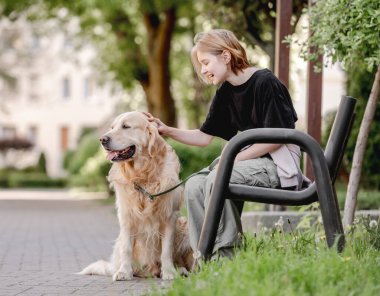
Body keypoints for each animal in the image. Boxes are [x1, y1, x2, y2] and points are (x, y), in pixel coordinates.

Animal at [79, 110, 194, 280]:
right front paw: (124, 272)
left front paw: (169, 272)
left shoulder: (169, 215)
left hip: (183, 225)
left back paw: (179, 269)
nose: (102, 139)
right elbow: (127, 248)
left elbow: (167, 249)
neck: (142, 175)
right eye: (112, 127)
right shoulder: (126, 215)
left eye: (126, 126)